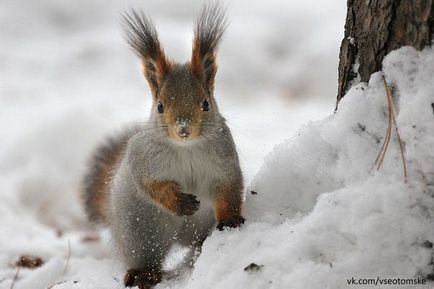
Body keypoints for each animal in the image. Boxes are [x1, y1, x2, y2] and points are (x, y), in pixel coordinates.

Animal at [81, 4, 244, 288]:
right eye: (160, 106)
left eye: (206, 104)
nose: (183, 129)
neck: (186, 148)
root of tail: (182, 237)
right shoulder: (143, 159)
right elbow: (151, 186)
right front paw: (180, 203)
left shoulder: (225, 160)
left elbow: (228, 188)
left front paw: (231, 218)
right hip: (141, 229)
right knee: (146, 254)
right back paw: (144, 273)